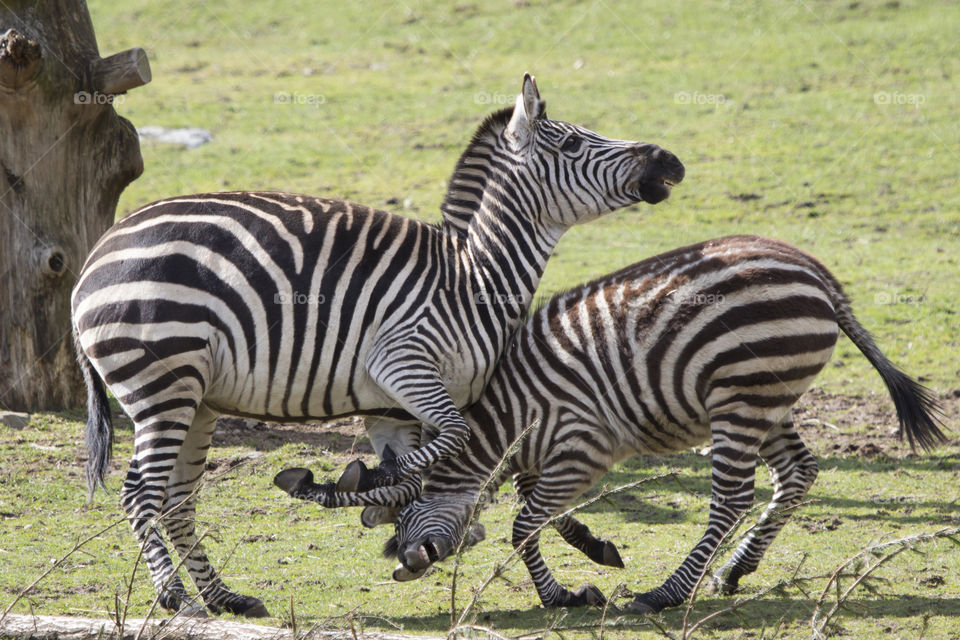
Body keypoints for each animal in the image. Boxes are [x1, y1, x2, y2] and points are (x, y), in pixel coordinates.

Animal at [71, 73, 684, 617]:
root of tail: (93, 260)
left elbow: (450, 475)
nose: (669, 160)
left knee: (178, 502)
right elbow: (464, 456)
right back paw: (177, 599)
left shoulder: (396, 409)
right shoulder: (404, 364)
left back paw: (226, 598)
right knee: (141, 494)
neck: (476, 277)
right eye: (574, 142)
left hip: (198, 400)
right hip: (164, 384)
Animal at [278, 235, 946, 612]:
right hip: (767, 398)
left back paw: (666, 595)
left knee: (732, 498)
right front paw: (596, 548)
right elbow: (540, 509)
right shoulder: (544, 456)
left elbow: (524, 524)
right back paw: (735, 570)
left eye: (401, 515)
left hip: (739, 398)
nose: (404, 567)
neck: (507, 417)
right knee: (799, 472)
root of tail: (812, 269)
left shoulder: (580, 444)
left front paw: (561, 596)